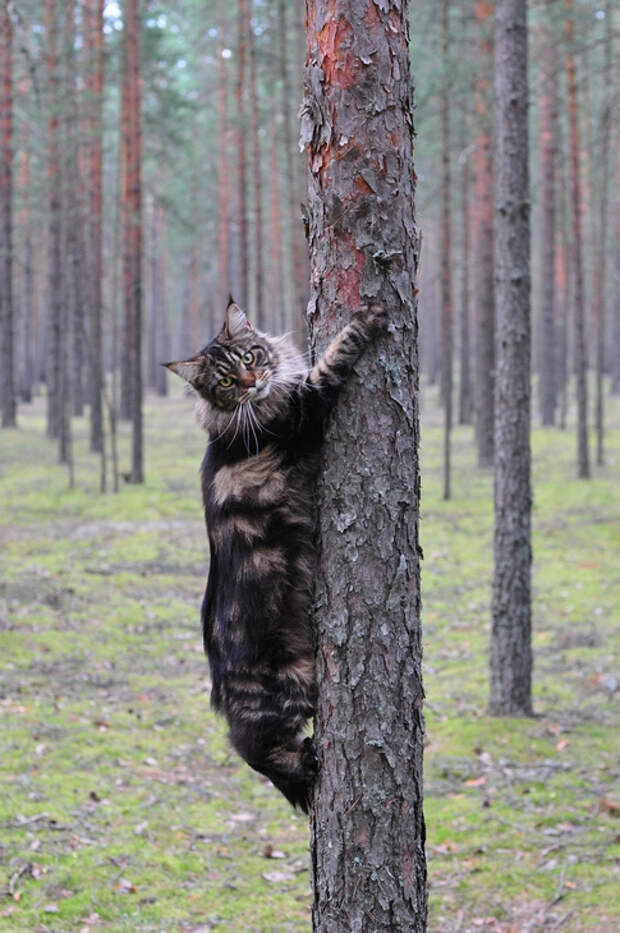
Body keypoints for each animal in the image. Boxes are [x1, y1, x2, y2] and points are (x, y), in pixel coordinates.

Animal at [167, 300, 386, 816]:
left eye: (250, 356)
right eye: (226, 381)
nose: (252, 382)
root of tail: (221, 685)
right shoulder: (305, 410)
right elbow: (334, 358)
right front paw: (365, 321)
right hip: (277, 699)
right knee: (256, 751)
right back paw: (306, 767)